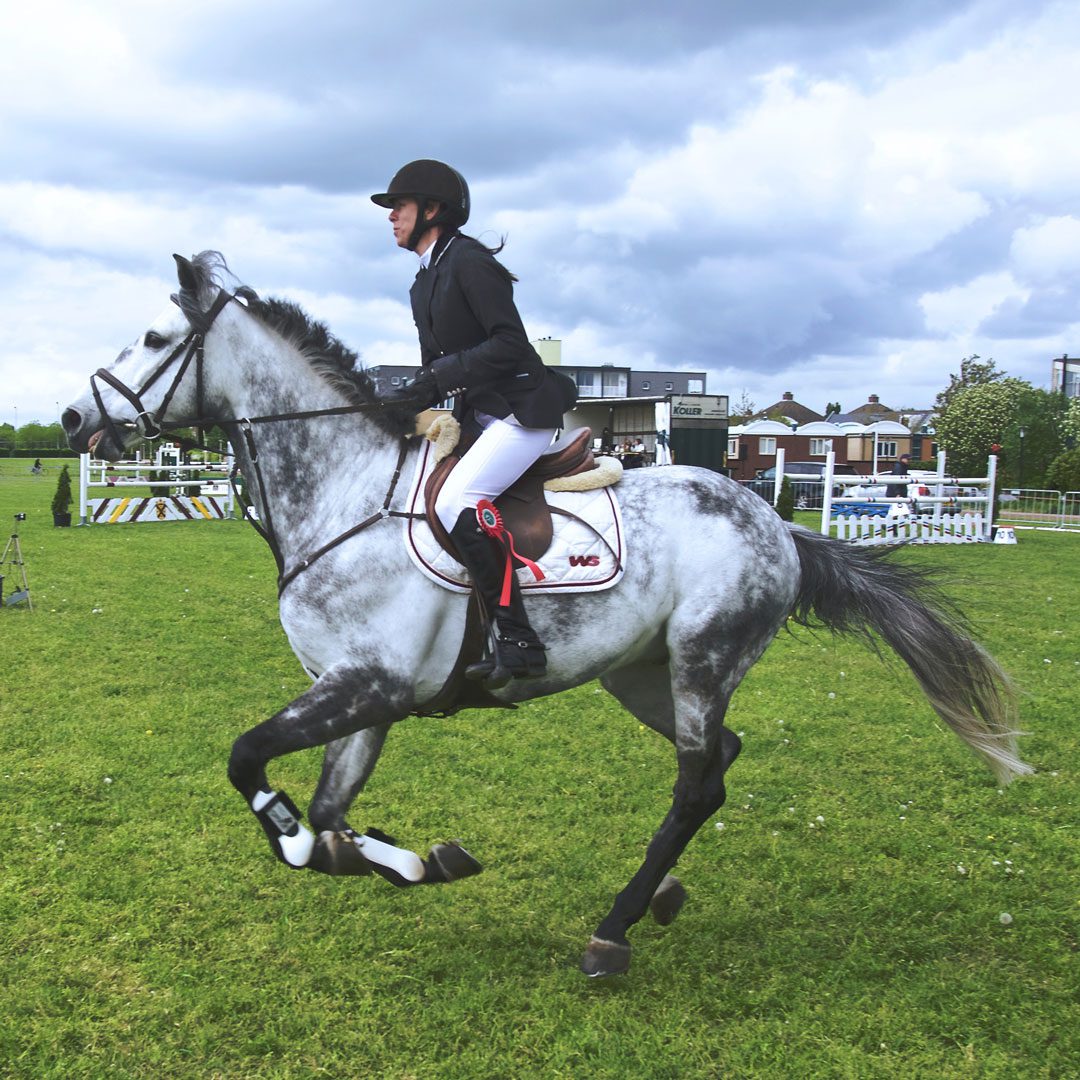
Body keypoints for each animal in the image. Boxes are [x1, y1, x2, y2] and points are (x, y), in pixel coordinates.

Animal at [62, 251, 1031, 977]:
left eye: (154, 337)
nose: (74, 417)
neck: (344, 492)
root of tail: (778, 524)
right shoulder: (362, 697)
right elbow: (332, 819)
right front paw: (415, 859)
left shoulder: (369, 685)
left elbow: (253, 767)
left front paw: (339, 845)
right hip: (641, 674)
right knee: (717, 762)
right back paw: (658, 898)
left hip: (703, 657)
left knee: (693, 782)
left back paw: (614, 930)